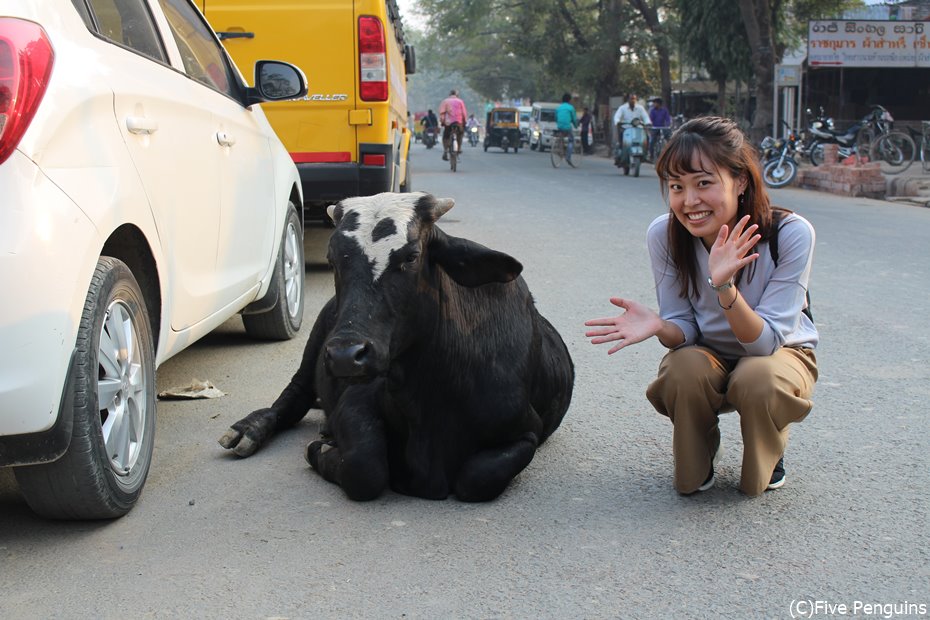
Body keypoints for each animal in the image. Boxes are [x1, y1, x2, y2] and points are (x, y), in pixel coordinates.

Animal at [219, 191, 572, 502]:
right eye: (333, 260)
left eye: (412, 257)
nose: (346, 356)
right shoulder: (355, 400)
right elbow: (365, 468)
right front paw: (321, 449)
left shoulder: (526, 430)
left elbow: (478, 478)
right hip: (317, 342)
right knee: (293, 396)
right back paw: (248, 430)